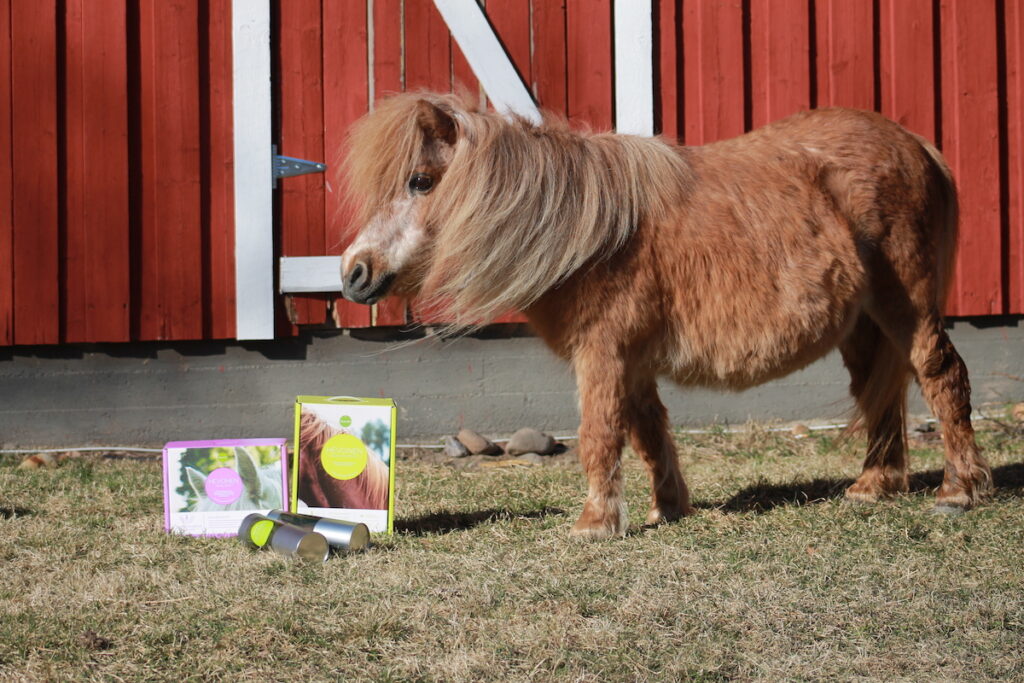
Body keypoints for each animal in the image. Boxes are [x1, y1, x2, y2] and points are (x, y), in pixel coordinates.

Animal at [339, 92, 987, 540]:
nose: (354, 273)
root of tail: (915, 143)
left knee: (939, 374)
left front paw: (595, 524)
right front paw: (667, 508)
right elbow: (648, 430)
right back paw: (873, 486)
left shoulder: (603, 353)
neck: (588, 231)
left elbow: (601, 434)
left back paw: (958, 491)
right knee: (881, 393)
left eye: (421, 181)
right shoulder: (632, 360)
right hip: (862, 325)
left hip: (907, 304)